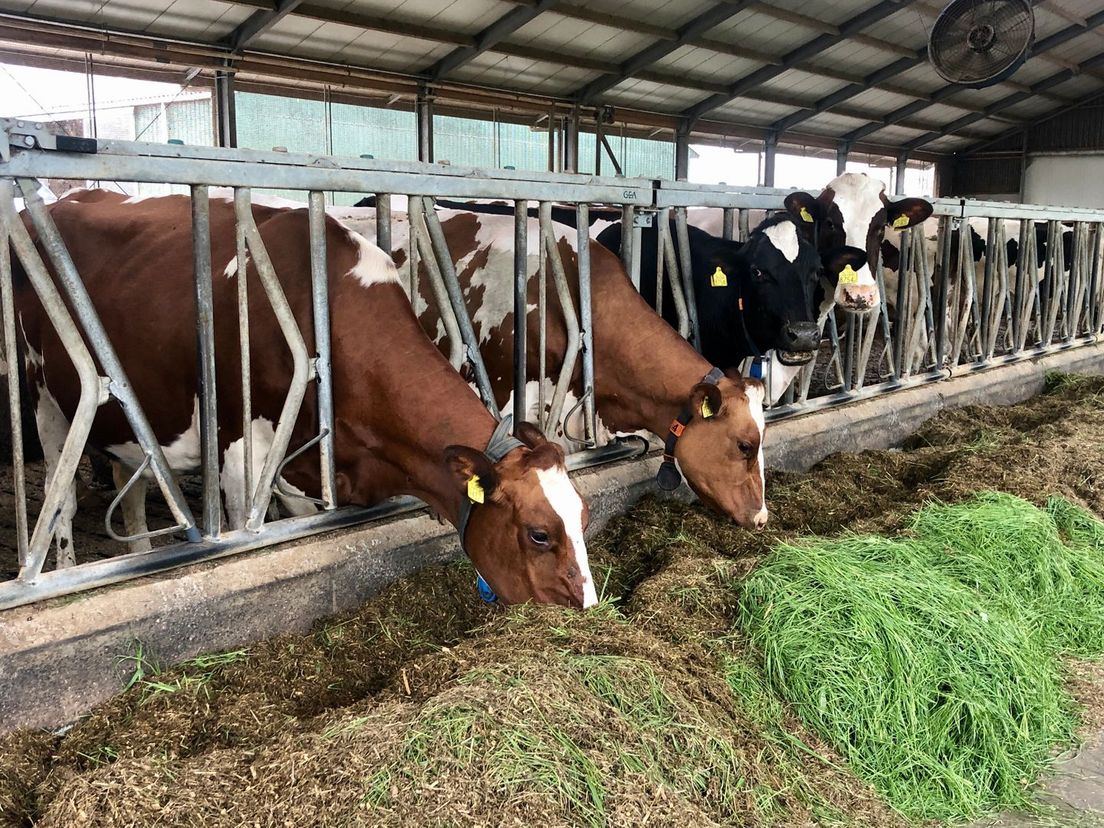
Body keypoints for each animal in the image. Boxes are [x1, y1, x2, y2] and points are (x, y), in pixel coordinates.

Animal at [10, 193, 596, 609]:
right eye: (539, 534)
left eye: (584, 515)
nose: (589, 601)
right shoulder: (246, 459)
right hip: (49, 401)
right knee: (59, 504)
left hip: (125, 421)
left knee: (128, 489)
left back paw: (139, 552)